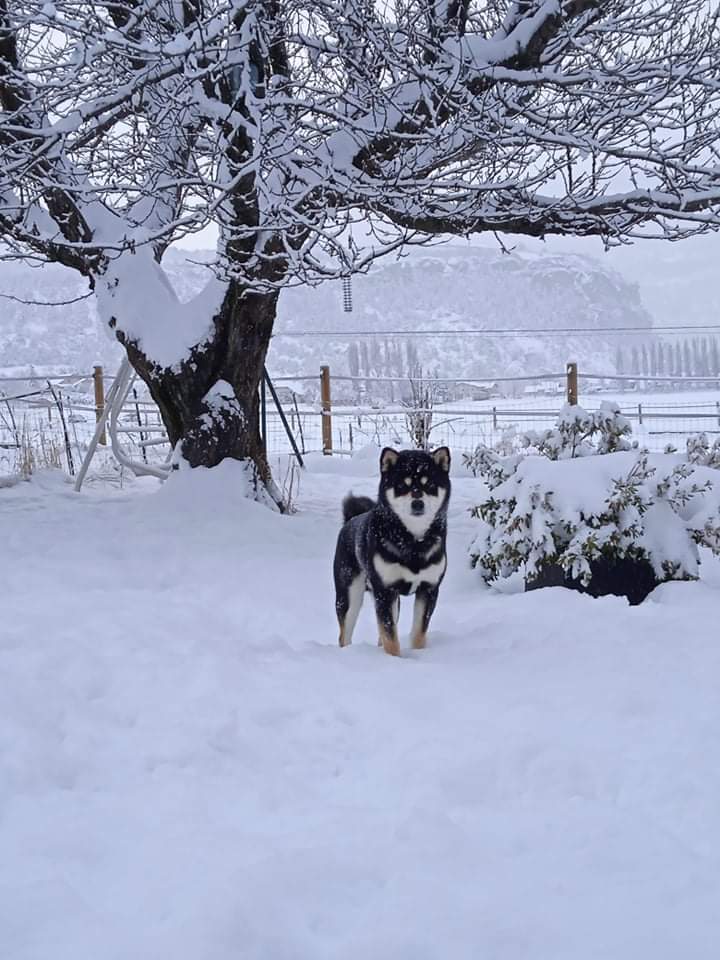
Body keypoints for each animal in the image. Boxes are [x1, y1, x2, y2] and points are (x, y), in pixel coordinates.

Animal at [334, 446, 450, 656]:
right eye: (402, 485)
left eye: (429, 484)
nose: (417, 503)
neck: (413, 542)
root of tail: (351, 520)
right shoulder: (385, 591)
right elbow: (390, 636)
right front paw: (394, 660)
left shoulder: (429, 589)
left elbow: (418, 632)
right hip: (349, 593)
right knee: (345, 633)